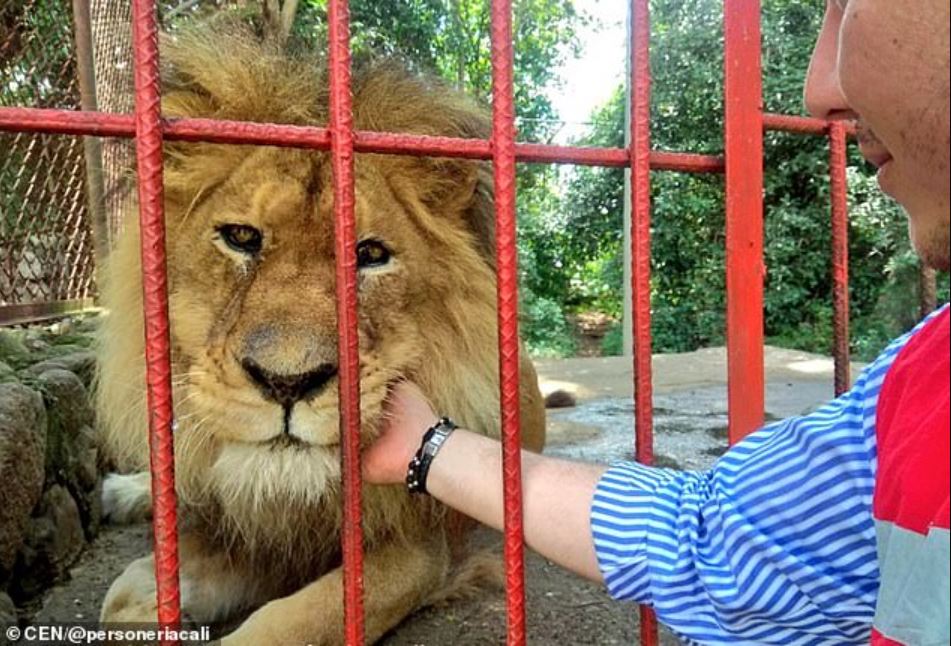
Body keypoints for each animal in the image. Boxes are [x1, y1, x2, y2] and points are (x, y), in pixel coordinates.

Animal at [96, 25, 548, 646]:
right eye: (241, 238)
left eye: (371, 255)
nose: (288, 383)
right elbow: (130, 591)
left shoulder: (421, 551)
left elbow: (294, 622)